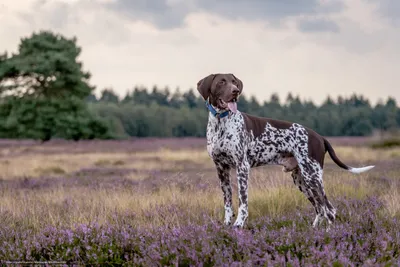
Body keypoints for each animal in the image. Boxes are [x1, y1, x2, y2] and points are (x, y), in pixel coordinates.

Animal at [197, 73, 376, 228]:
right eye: (221, 82)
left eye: (234, 82)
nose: (235, 91)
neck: (220, 122)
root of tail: (319, 137)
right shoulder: (221, 169)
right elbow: (227, 201)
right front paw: (226, 224)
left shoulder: (242, 167)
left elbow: (243, 201)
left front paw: (238, 225)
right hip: (302, 180)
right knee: (320, 208)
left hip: (313, 176)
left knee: (329, 209)